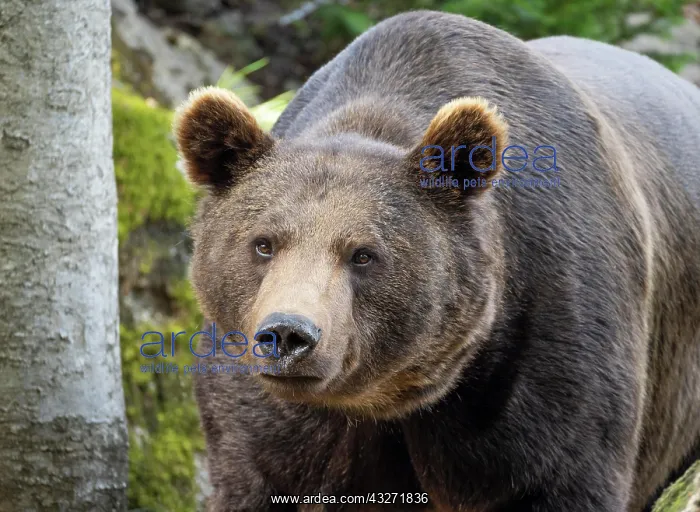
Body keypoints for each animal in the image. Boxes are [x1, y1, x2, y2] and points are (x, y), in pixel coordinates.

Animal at [172, 10, 700, 512]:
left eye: (363, 254)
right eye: (263, 243)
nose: (287, 334)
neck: (387, 399)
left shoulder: (546, 343)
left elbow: (563, 468)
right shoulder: (260, 407)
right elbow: (255, 464)